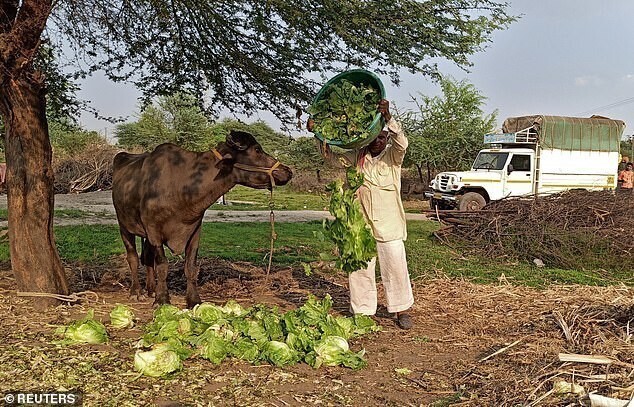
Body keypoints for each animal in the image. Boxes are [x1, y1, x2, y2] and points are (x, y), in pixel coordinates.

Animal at [111, 131, 292, 310]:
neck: (181, 186)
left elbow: (190, 267)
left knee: (147, 258)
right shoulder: (154, 231)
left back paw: (151, 289)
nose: (288, 171)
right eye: (257, 150)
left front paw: (193, 300)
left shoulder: (194, 231)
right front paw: (162, 299)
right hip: (124, 226)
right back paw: (136, 291)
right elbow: (162, 265)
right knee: (133, 258)